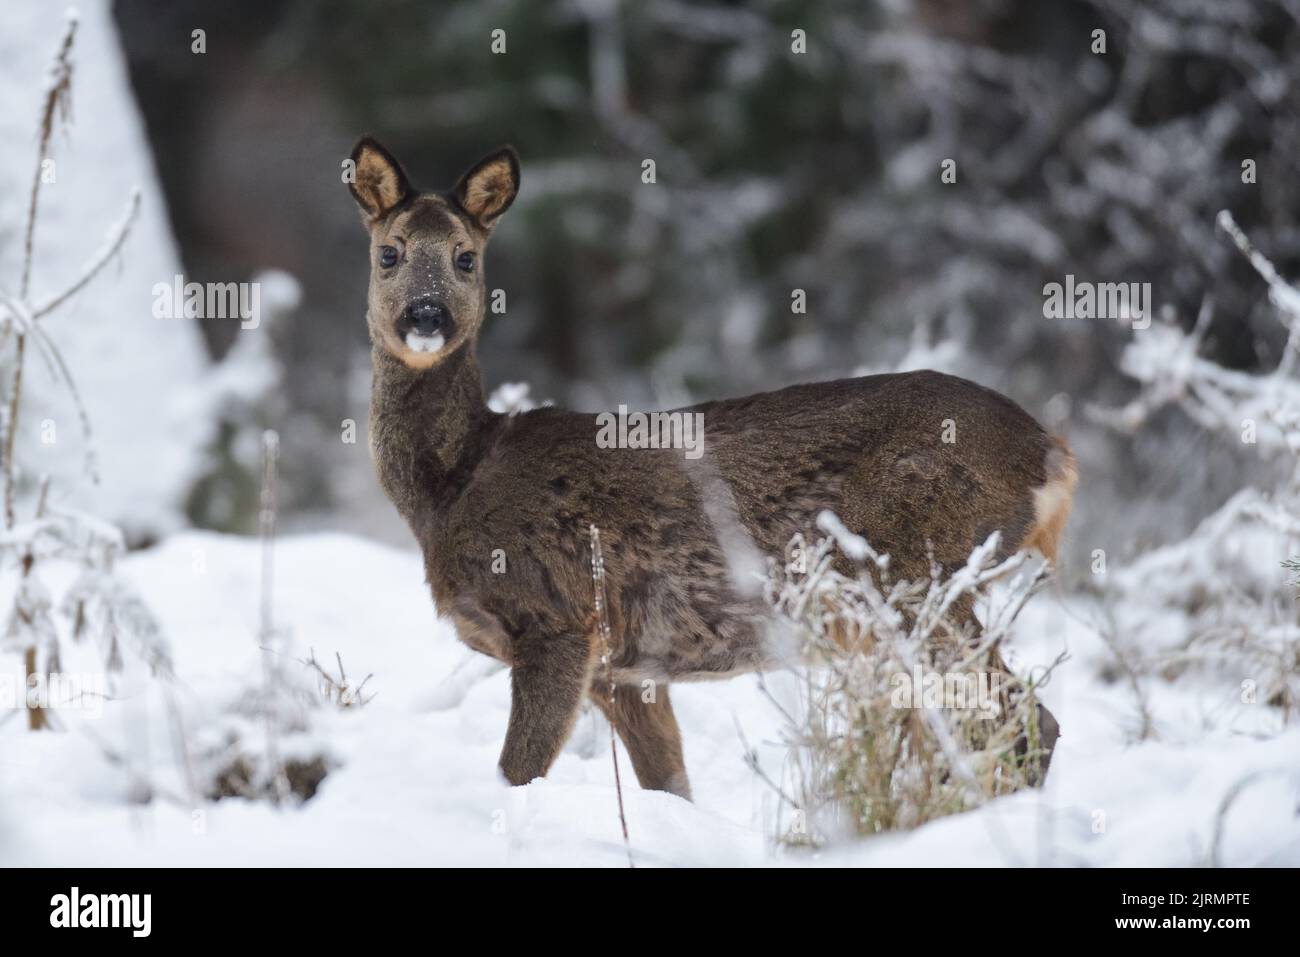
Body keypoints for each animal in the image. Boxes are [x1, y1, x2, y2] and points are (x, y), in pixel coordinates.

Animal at [345, 138, 1076, 800]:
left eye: (466, 257)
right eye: (389, 252)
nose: (427, 315)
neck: (452, 485)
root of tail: (1053, 454)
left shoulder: (559, 618)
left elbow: (517, 773)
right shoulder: (627, 670)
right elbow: (669, 783)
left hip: (913, 577)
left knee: (1018, 717)